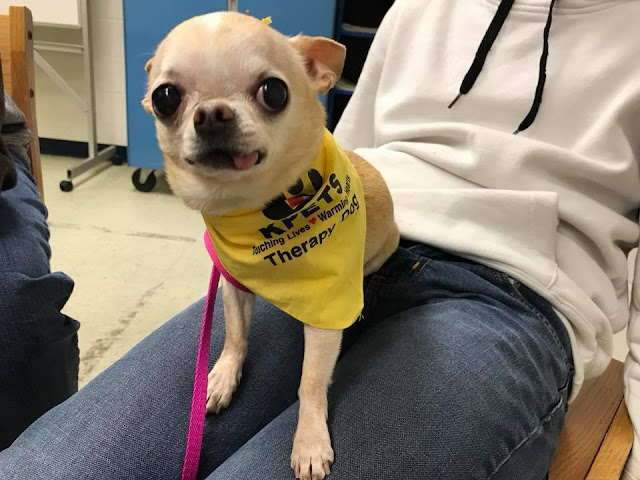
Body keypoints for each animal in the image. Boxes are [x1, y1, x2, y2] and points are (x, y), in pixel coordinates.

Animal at [143, 12, 398, 479]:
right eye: (166, 97)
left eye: (274, 92)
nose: (212, 113)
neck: (250, 206)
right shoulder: (233, 284)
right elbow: (235, 337)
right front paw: (222, 377)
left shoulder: (326, 315)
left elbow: (310, 383)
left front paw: (310, 440)